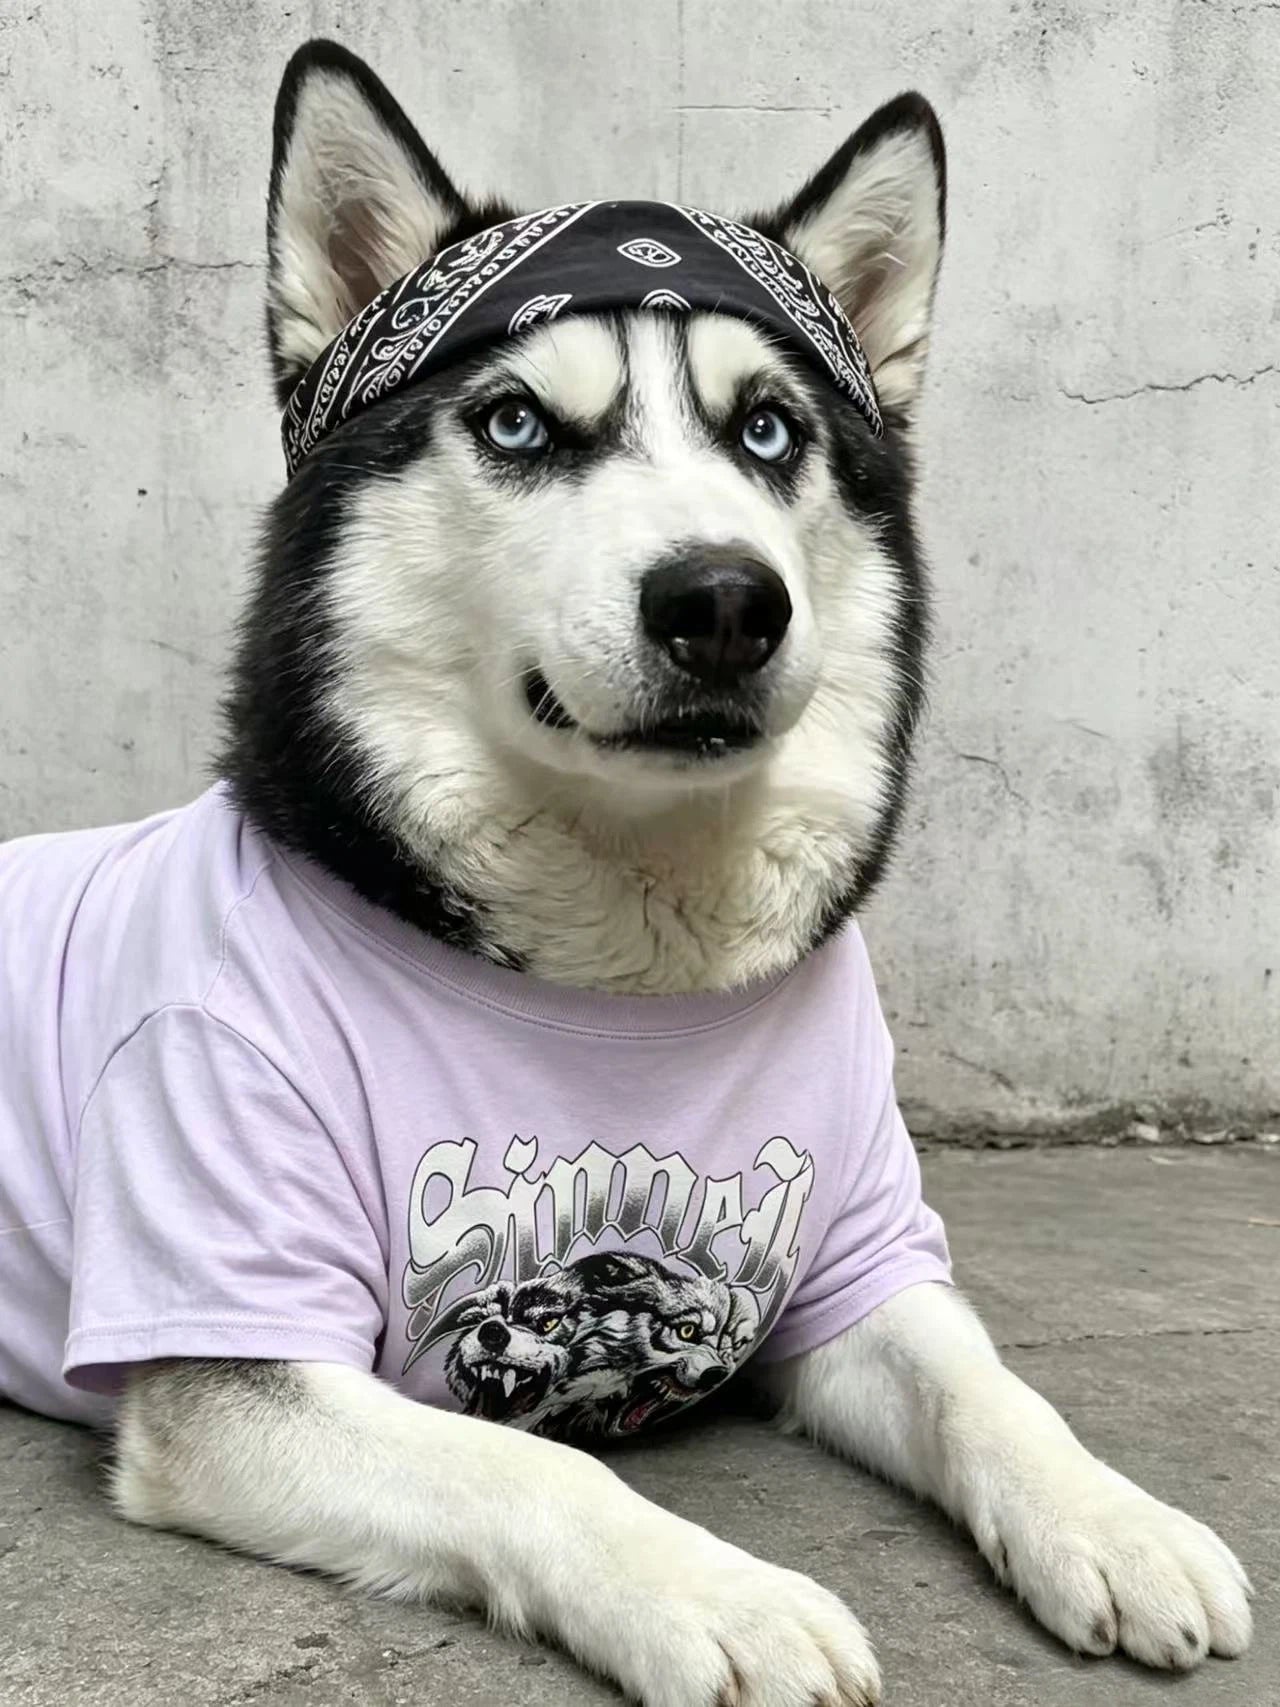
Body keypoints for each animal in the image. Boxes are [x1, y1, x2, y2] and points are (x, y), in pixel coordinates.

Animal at [0, 39, 1251, 1707]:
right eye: (520, 424)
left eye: (771, 430)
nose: (724, 601)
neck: (623, 968)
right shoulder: (230, 1353)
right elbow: (532, 1461)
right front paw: (720, 1595)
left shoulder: (860, 1266)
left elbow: (987, 1387)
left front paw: (1114, 1517)